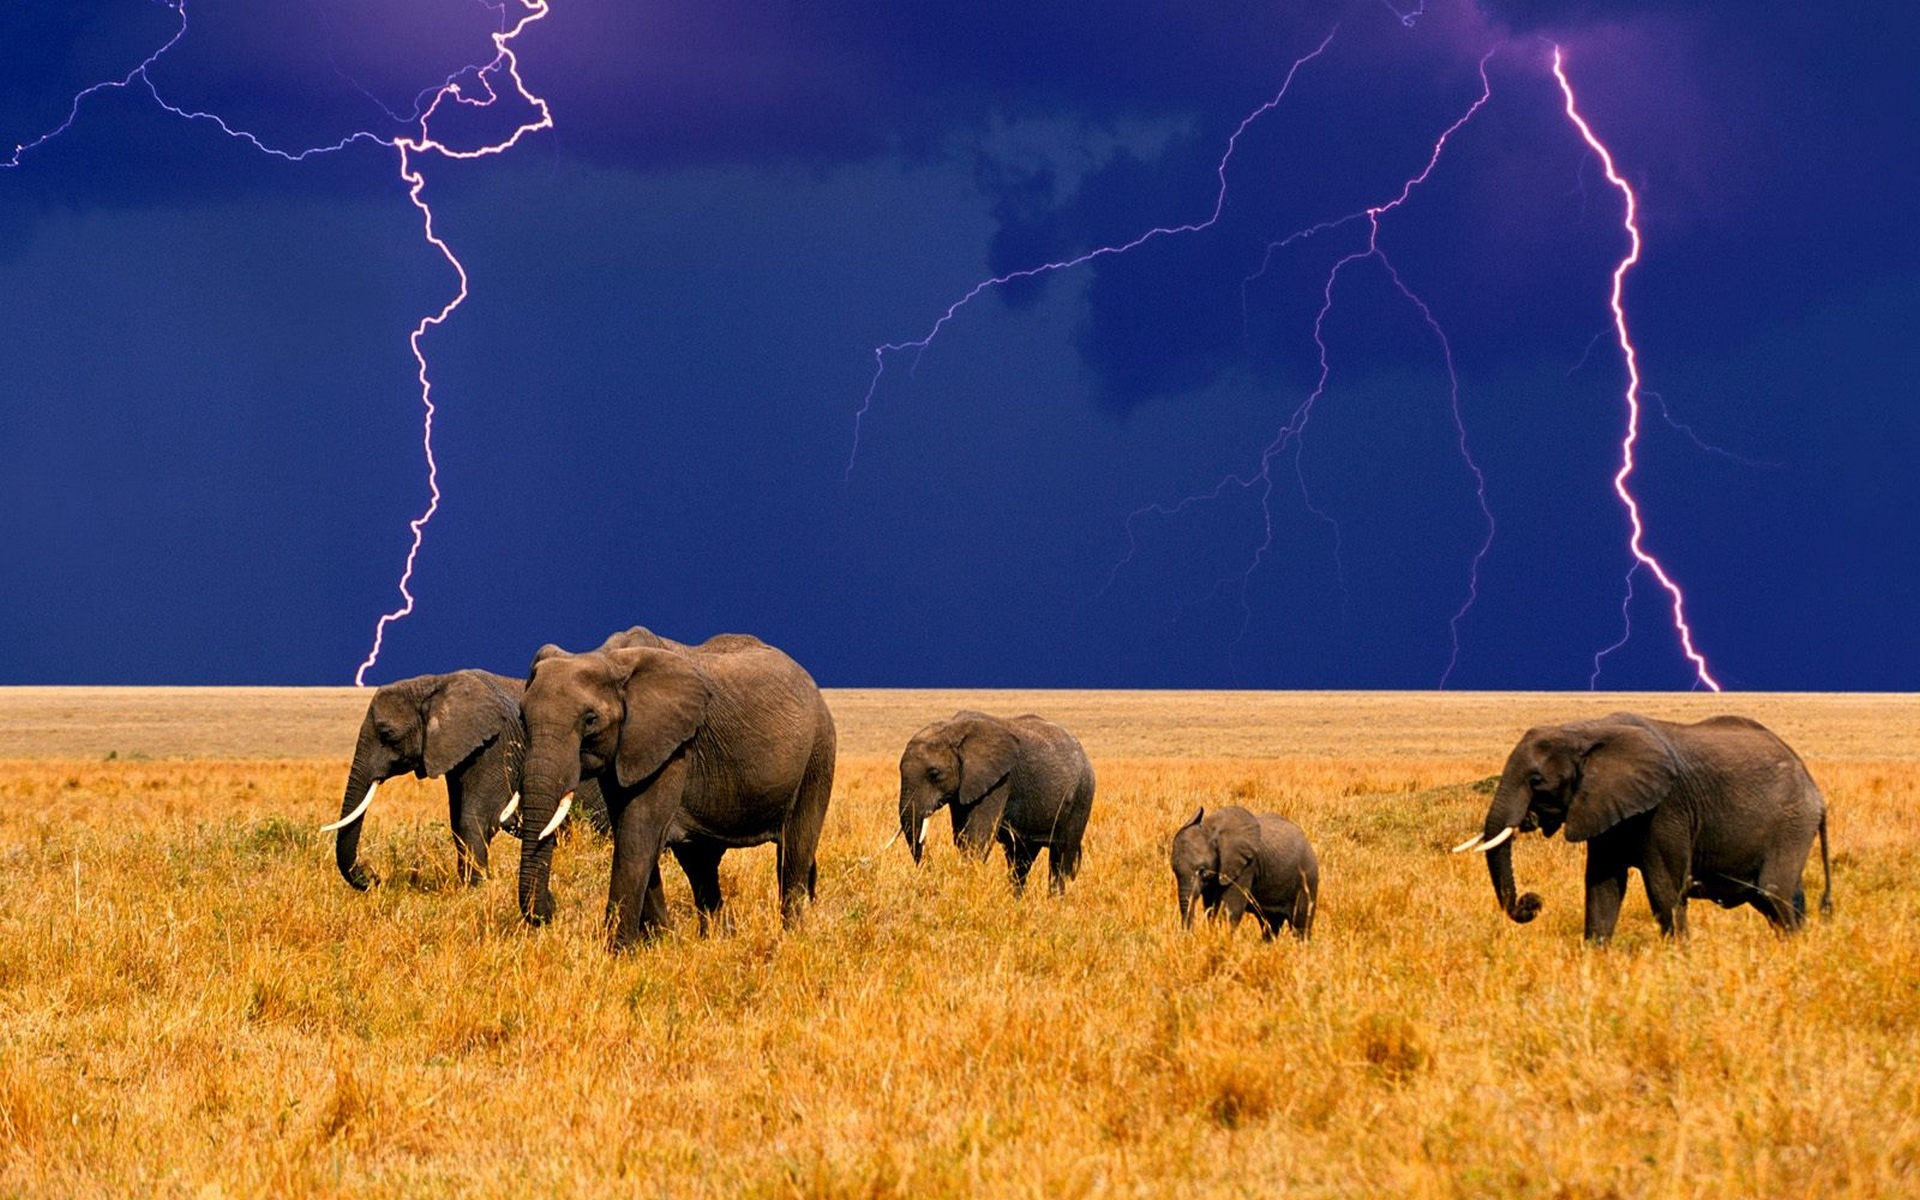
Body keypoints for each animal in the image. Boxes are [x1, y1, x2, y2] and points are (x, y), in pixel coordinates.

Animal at [324, 670, 608, 890]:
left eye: (387, 734)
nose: (374, 876)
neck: (435, 683)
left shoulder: (495, 744)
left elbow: (475, 817)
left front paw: (475, 889)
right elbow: (458, 819)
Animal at [506, 630, 836, 950]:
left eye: (590, 720)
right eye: (522, 717)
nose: (552, 905)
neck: (611, 658)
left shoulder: (672, 744)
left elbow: (638, 833)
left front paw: (618, 953)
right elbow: (632, 829)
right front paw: (661, 942)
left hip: (818, 755)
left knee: (794, 852)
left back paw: (792, 938)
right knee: (700, 863)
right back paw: (717, 941)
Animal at [897, 711, 1095, 894]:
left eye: (934, 773)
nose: (931, 871)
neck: (953, 728)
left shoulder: (999, 781)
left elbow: (978, 836)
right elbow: (962, 836)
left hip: (1082, 796)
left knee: (1061, 857)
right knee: (1021, 859)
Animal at [1171, 806, 1318, 940]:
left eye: (1202, 871)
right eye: (1174, 870)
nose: (1188, 938)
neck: (1212, 829)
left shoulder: (1247, 866)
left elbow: (1231, 908)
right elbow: (1211, 908)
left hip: (1307, 878)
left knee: (1300, 925)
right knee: (1270, 925)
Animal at [1453, 712, 1832, 942]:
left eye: (1536, 781)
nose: (1532, 902)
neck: (1584, 730)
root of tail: (1816, 790)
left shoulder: (1666, 808)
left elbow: (1665, 889)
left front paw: (1678, 959)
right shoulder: (1602, 806)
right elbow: (1602, 885)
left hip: (1791, 822)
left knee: (1773, 892)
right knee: (1780, 898)